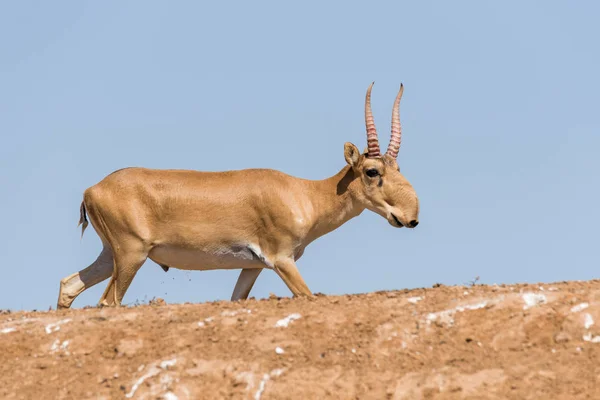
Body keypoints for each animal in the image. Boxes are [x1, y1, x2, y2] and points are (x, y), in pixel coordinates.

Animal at [58, 82, 420, 310]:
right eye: (372, 171)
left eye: (397, 166)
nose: (411, 217)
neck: (304, 193)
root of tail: (93, 189)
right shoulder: (282, 260)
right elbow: (307, 296)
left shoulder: (253, 267)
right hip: (131, 256)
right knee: (107, 301)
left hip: (111, 255)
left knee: (69, 285)